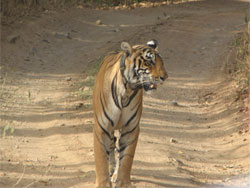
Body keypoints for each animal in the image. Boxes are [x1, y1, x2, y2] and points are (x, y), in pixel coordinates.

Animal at [92, 39, 168, 187]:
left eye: (161, 62)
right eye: (149, 61)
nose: (165, 77)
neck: (127, 90)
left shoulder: (131, 128)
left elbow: (126, 159)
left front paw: (123, 183)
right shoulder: (102, 127)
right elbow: (101, 158)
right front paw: (103, 183)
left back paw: (115, 174)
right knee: (111, 146)